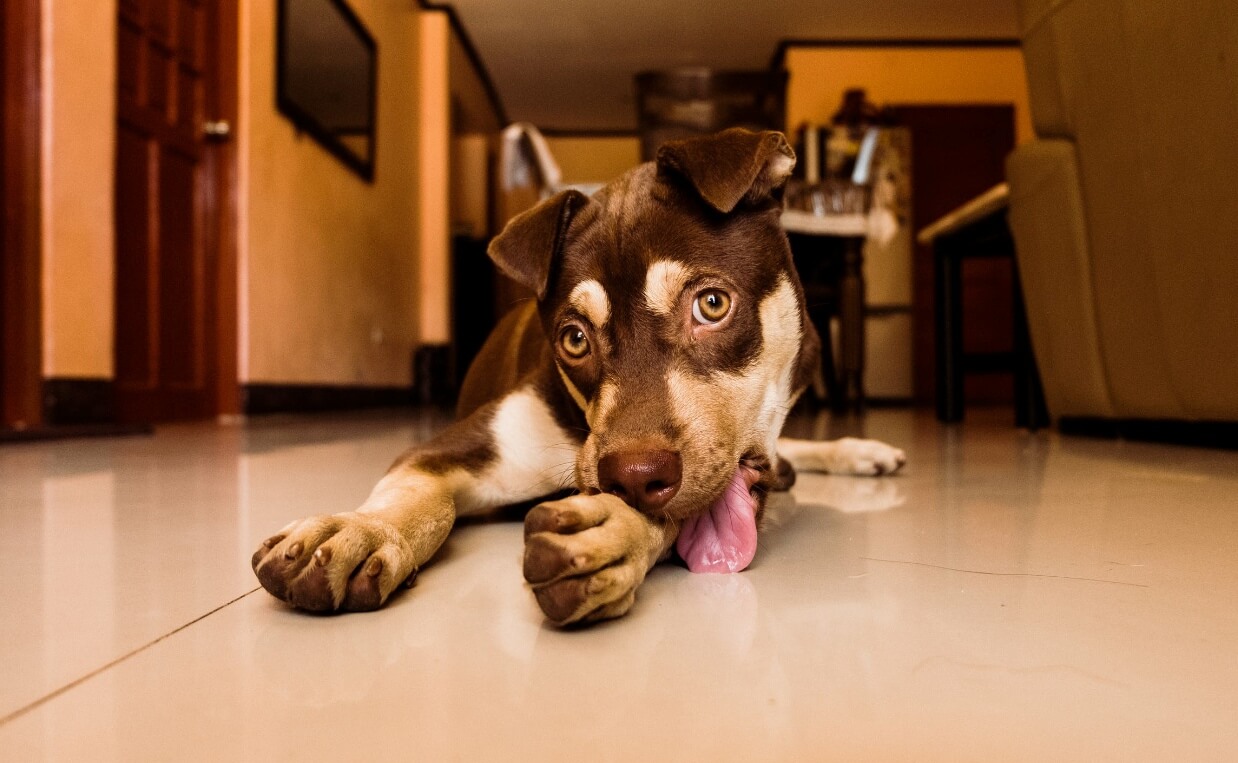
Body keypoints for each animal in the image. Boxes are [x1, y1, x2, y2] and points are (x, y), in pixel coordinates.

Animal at [253, 126, 911, 626]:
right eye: (574, 339)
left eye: (712, 305)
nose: (634, 475)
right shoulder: (451, 448)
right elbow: (418, 495)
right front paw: (359, 530)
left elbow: (674, 509)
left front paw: (611, 535)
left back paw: (857, 450)